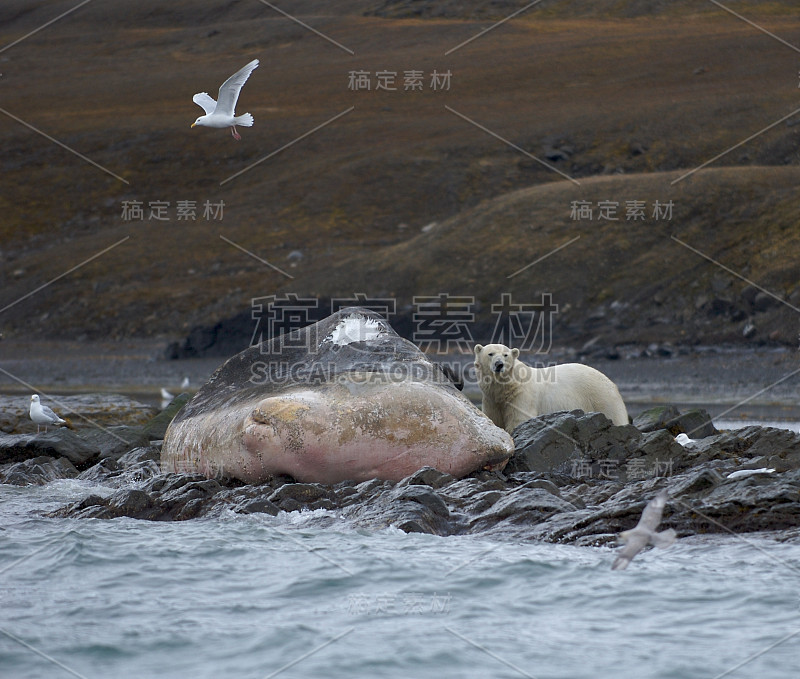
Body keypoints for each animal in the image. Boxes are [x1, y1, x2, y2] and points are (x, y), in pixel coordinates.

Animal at [472, 346, 628, 436]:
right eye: (490, 354)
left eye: (506, 355)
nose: (499, 365)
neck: (506, 387)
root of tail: (610, 381)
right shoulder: (491, 399)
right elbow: (494, 419)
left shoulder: (521, 396)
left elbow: (518, 420)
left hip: (601, 397)